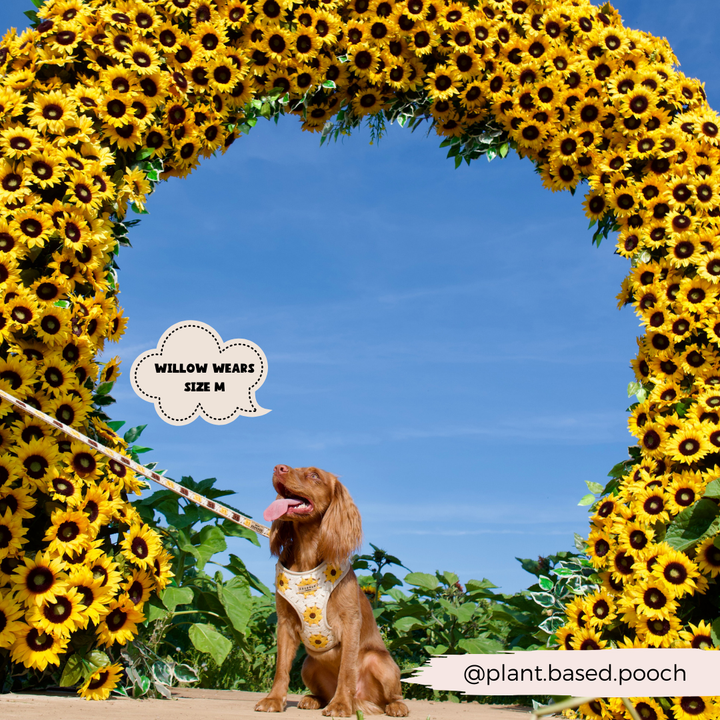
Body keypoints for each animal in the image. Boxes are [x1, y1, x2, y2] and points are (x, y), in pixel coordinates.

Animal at [256, 464, 408, 716]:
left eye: (314, 475)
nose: (279, 468)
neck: (307, 556)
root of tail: (363, 700)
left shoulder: (350, 622)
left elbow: (346, 670)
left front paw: (340, 705)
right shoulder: (285, 623)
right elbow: (281, 668)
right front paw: (274, 699)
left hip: (380, 662)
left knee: (391, 695)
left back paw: (393, 706)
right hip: (308, 665)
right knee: (322, 692)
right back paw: (313, 699)